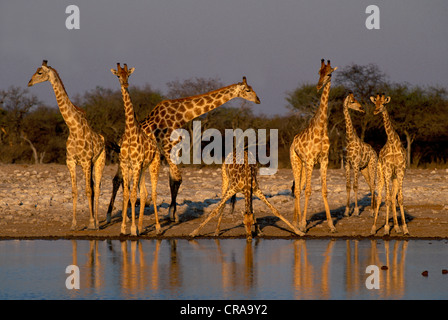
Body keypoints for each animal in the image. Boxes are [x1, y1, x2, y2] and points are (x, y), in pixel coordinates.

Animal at [27, 60, 106, 230]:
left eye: (39, 73)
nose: (29, 82)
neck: (73, 128)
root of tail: (102, 138)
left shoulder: (86, 161)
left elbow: (88, 190)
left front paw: (91, 223)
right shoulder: (70, 161)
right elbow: (74, 191)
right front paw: (74, 224)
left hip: (99, 161)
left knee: (97, 188)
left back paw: (97, 222)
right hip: (89, 164)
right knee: (93, 187)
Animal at [107, 76, 260, 224]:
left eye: (252, 88)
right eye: (247, 90)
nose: (258, 100)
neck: (180, 116)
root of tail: (120, 139)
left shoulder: (174, 150)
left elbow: (173, 180)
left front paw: (172, 214)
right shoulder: (167, 148)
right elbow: (178, 179)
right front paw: (173, 215)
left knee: (118, 179)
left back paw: (121, 215)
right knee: (120, 180)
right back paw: (116, 216)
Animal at [110, 63, 161, 236]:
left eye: (129, 75)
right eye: (118, 75)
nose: (125, 84)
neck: (131, 132)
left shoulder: (137, 163)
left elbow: (132, 195)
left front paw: (132, 230)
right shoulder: (127, 164)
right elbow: (126, 194)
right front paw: (124, 228)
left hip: (153, 165)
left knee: (154, 193)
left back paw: (158, 228)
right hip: (141, 169)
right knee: (144, 193)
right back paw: (140, 227)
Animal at [288, 58, 338, 232]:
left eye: (329, 74)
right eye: (318, 72)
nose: (318, 86)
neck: (321, 128)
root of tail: (293, 142)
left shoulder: (324, 160)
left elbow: (324, 190)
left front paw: (331, 225)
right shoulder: (310, 160)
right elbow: (309, 191)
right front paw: (303, 224)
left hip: (303, 165)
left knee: (298, 187)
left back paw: (295, 221)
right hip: (296, 161)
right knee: (298, 189)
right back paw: (296, 224)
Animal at [370, 92, 408, 235]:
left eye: (383, 103)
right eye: (375, 102)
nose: (376, 110)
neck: (392, 142)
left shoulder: (400, 170)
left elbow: (399, 198)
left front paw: (405, 228)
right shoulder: (386, 169)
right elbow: (385, 199)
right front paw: (386, 228)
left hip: (394, 177)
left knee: (392, 197)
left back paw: (396, 227)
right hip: (381, 174)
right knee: (380, 198)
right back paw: (373, 228)